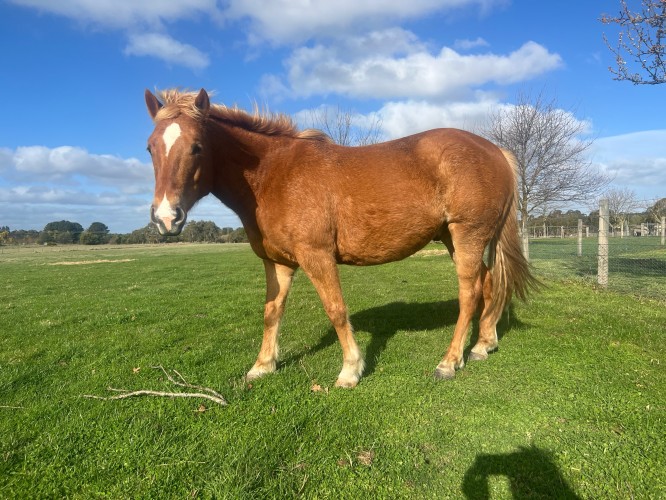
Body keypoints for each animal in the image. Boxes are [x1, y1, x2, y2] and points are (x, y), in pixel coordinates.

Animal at [145, 89, 536, 386]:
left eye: (197, 146)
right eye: (150, 147)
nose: (166, 217)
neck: (274, 174)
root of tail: (495, 151)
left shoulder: (316, 256)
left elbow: (335, 309)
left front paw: (350, 369)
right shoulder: (278, 262)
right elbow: (272, 311)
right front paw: (263, 365)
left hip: (468, 236)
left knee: (470, 293)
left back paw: (449, 361)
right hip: (455, 239)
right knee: (489, 284)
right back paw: (483, 344)